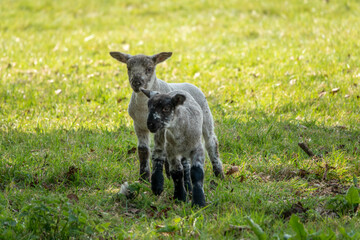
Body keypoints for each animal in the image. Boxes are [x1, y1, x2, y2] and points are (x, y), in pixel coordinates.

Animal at [108, 50, 224, 195]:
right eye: (128, 68)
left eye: (149, 69)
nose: (136, 83)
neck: (143, 107)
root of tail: (189, 84)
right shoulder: (139, 125)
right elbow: (143, 150)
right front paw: (144, 178)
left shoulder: (160, 127)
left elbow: (160, 151)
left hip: (206, 116)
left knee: (211, 141)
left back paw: (219, 173)